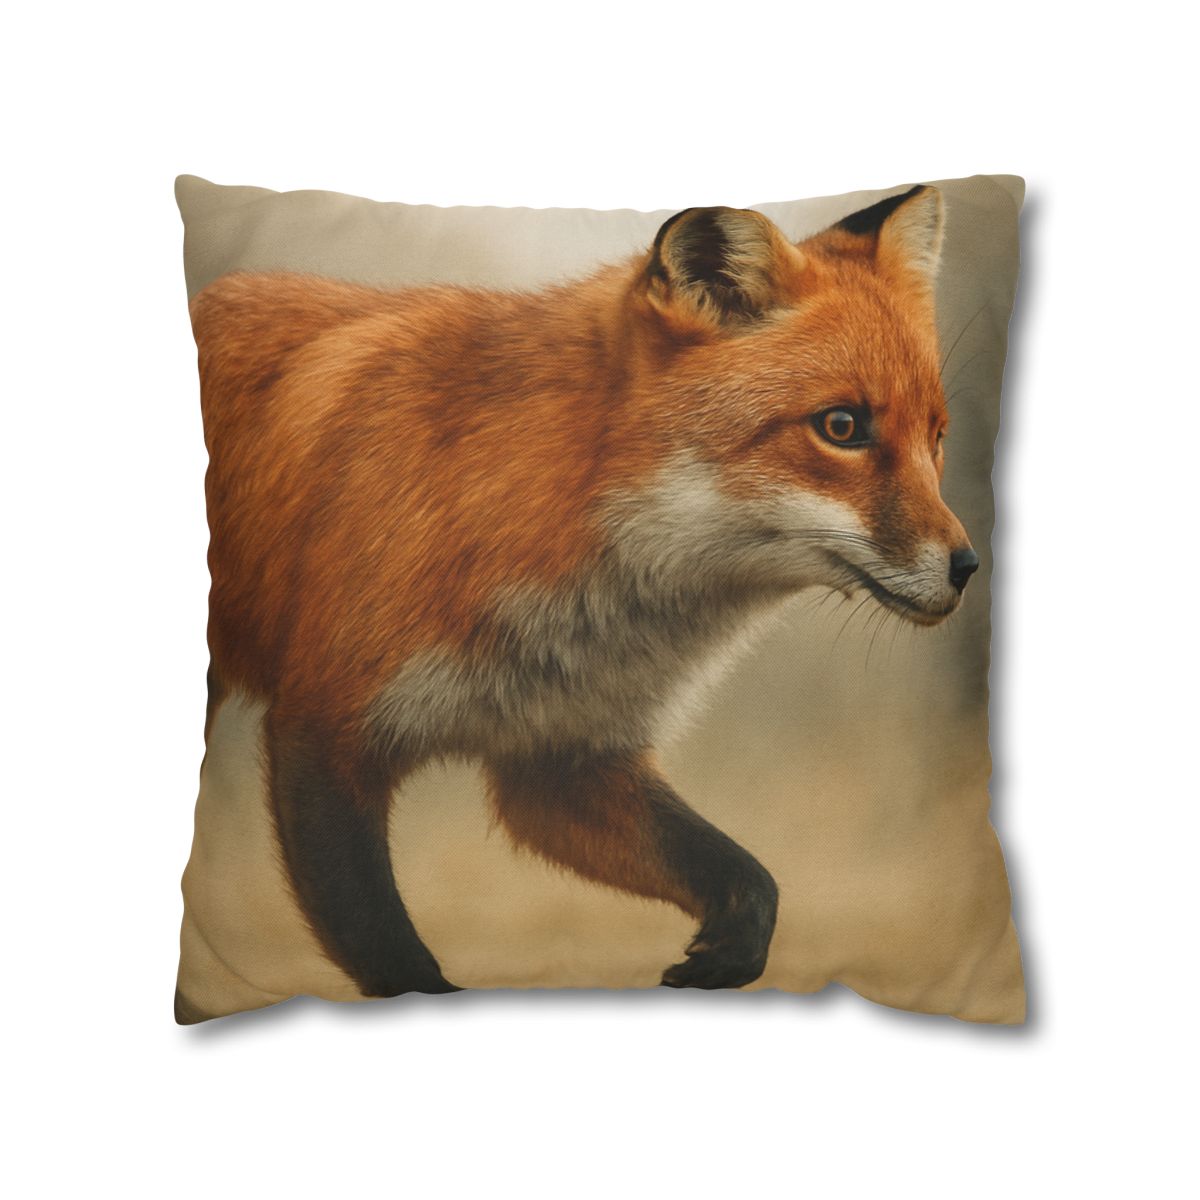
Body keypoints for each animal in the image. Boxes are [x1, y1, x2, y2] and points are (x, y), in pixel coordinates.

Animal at [187, 184, 979, 1009]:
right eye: (842, 427)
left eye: (937, 437)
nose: (968, 566)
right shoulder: (323, 733)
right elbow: (398, 962)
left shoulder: (561, 759)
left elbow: (749, 879)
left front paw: (725, 956)